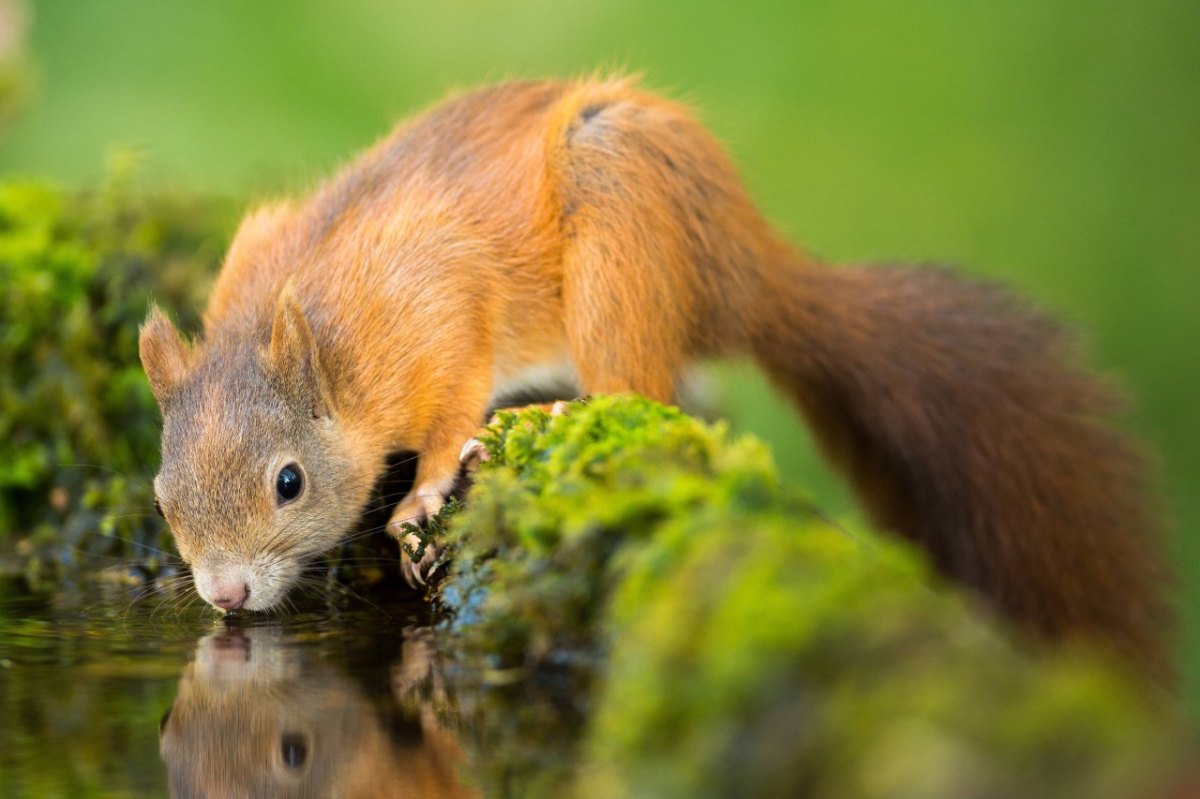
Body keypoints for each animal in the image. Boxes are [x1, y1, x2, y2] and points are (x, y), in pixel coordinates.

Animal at [138, 76, 1171, 676]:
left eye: (288, 482)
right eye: (160, 496)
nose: (225, 597)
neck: (326, 332)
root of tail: (743, 270)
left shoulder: (442, 312)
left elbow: (449, 406)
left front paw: (423, 495)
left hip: (618, 233)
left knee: (639, 386)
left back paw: (552, 410)